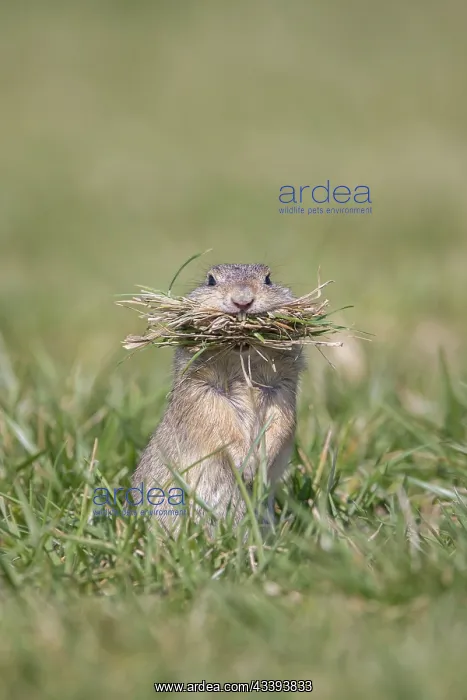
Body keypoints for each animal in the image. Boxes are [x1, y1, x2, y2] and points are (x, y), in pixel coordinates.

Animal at [131, 263, 305, 530]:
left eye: (268, 279)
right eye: (211, 280)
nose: (242, 300)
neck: (242, 362)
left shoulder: (282, 387)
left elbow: (282, 421)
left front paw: (262, 464)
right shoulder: (202, 389)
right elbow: (219, 423)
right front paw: (246, 466)